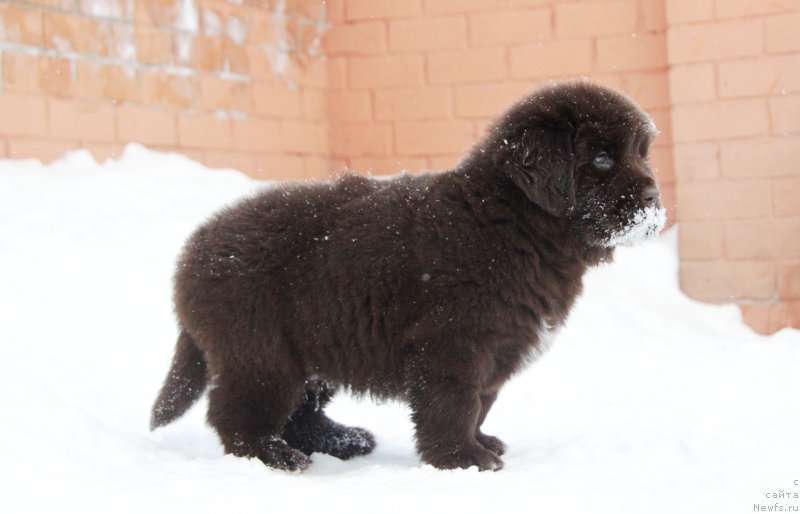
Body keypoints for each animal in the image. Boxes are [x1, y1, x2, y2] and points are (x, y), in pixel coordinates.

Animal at [150, 82, 664, 470]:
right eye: (601, 159)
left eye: (643, 154)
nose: (655, 200)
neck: (511, 221)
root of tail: (194, 248)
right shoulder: (453, 342)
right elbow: (455, 403)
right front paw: (462, 459)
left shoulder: (499, 344)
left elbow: (482, 401)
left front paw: (480, 444)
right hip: (259, 350)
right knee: (237, 413)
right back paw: (273, 456)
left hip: (315, 343)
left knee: (301, 410)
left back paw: (344, 440)